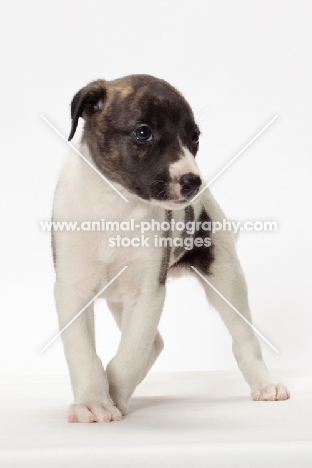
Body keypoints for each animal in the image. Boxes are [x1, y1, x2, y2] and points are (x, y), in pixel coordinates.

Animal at [51, 75, 290, 422]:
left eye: (194, 137)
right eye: (143, 133)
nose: (193, 181)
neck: (115, 206)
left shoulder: (147, 292)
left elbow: (131, 352)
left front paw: (114, 395)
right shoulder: (73, 289)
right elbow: (84, 353)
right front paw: (94, 401)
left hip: (226, 277)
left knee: (244, 339)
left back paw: (265, 385)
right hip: (119, 298)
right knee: (155, 343)